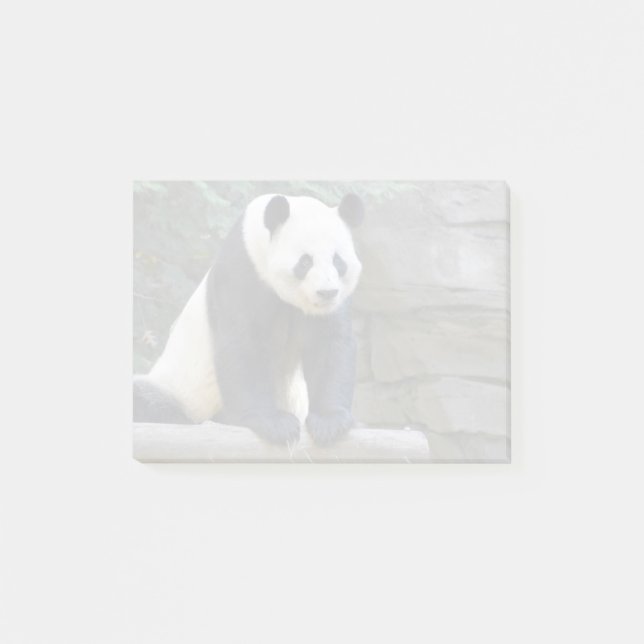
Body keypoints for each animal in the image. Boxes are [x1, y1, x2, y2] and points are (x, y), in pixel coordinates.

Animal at [133, 192, 364, 446]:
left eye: (338, 261)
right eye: (305, 262)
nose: (327, 292)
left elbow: (330, 344)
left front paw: (329, 422)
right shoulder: (242, 272)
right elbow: (242, 344)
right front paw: (275, 423)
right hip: (179, 391)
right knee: (148, 399)